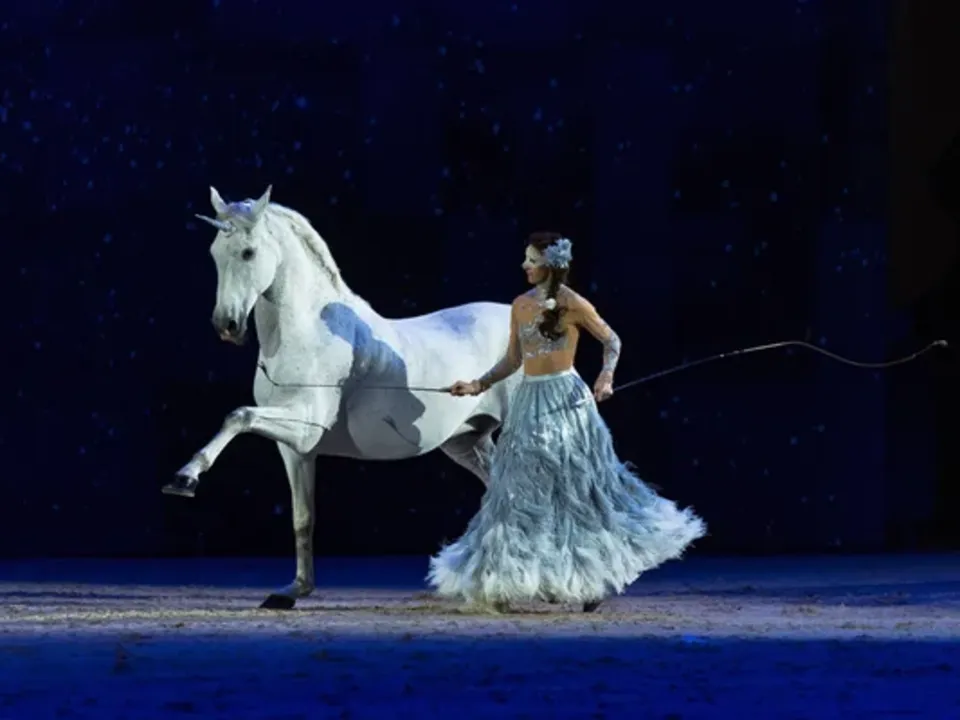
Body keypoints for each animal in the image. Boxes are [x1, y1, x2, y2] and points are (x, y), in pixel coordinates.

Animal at [162, 186, 521, 609]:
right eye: (215, 252)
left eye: (248, 252)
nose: (227, 325)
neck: (309, 332)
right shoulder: (296, 449)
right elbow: (303, 517)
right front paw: (294, 591)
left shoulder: (306, 424)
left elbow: (238, 416)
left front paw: (185, 477)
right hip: (467, 443)